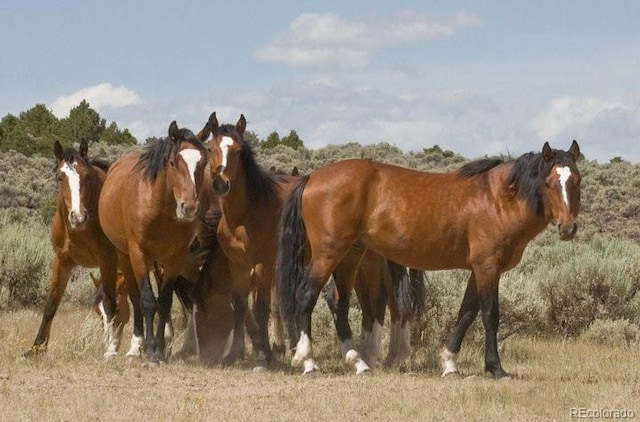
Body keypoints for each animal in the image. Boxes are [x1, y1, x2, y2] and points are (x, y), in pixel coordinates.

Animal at [24, 140, 124, 358]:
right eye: (59, 177)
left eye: (86, 176)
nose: (78, 217)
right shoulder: (62, 260)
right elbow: (51, 304)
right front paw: (36, 348)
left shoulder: (107, 259)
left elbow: (110, 304)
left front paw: (111, 349)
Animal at [99, 118, 211, 362]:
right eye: (173, 162)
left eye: (203, 162)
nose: (189, 207)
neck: (159, 209)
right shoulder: (138, 253)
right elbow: (148, 301)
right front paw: (150, 350)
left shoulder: (175, 258)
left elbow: (165, 302)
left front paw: (160, 349)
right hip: (125, 256)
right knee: (135, 297)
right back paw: (135, 346)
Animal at [278, 140, 584, 378]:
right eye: (549, 183)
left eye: (576, 180)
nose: (568, 228)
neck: (497, 199)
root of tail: (312, 177)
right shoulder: (488, 267)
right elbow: (489, 314)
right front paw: (496, 368)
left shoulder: (477, 269)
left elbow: (466, 312)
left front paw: (449, 363)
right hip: (328, 254)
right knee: (306, 297)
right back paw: (308, 362)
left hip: (351, 256)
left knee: (340, 304)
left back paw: (359, 363)